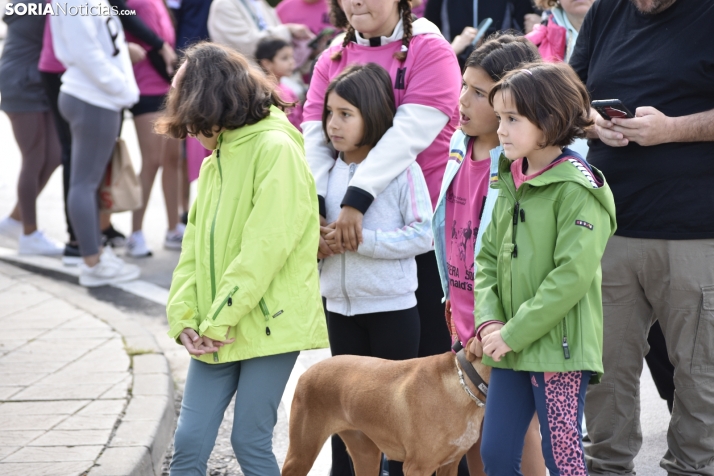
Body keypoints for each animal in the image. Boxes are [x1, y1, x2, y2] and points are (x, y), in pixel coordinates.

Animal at [280, 338, 486, 476]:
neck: (463, 383)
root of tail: (307, 371)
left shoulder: (450, 464)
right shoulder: (417, 467)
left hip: (367, 455)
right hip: (300, 456)